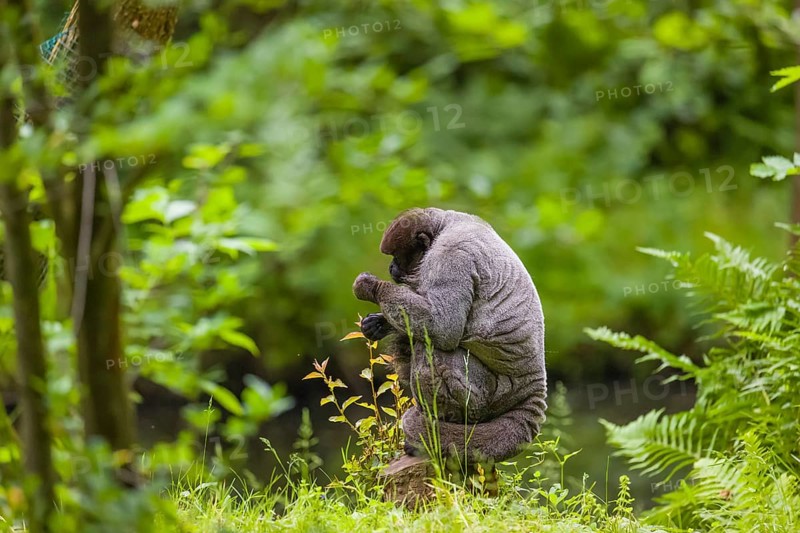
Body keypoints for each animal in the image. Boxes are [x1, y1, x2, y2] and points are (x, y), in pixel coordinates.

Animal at [353, 207, 547, 462]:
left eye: (396, 255)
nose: (391, 267)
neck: (444, 225)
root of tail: (535, 385)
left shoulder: (449, 257)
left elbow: (444, 326)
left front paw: (372, 287)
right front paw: (378, 323)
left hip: (493, 394)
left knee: (431, 348)